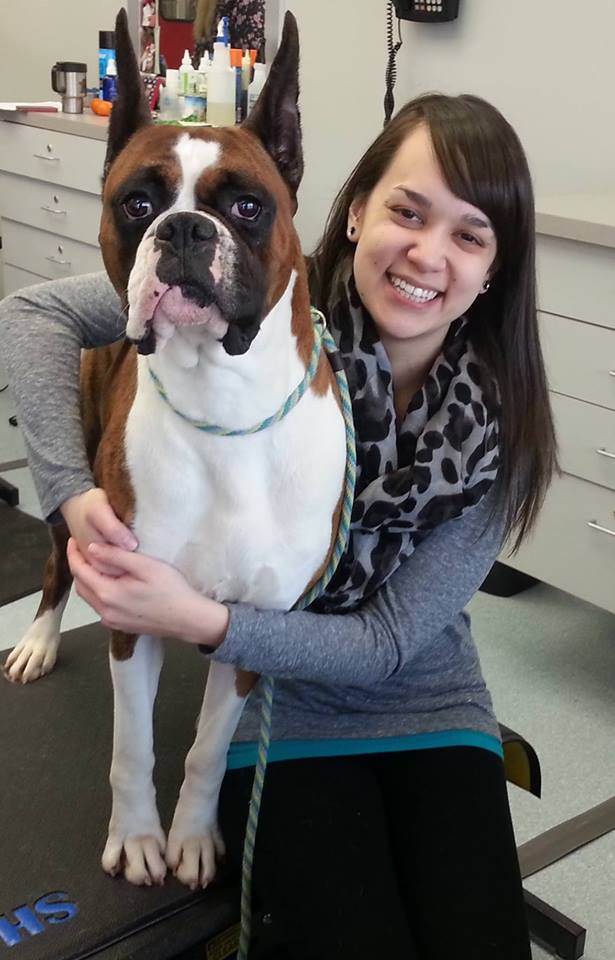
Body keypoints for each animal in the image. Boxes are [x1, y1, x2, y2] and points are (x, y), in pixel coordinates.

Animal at [4, 11, 346, 888]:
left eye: (249, 206)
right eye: (136, 202)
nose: (185, 228)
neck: (224, 403)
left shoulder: (253, 631)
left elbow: (204, 751)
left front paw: (191, 835)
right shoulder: (132, 617)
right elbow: (133, 749)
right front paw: (137, 837)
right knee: (55, 568)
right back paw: (38, 641)